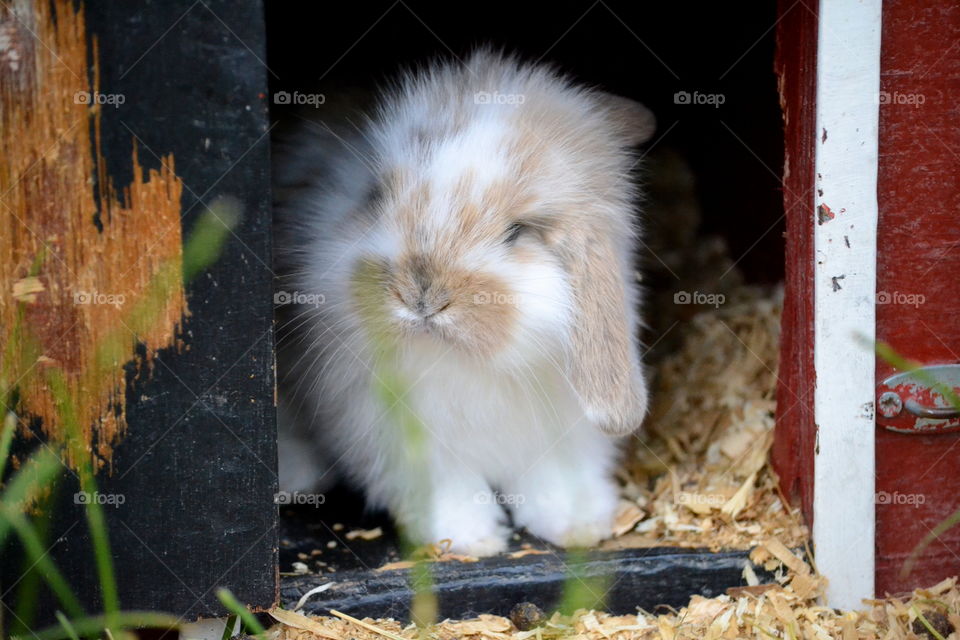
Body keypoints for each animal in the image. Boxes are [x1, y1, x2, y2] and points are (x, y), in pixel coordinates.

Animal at [273, 49, 654, 557]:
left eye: (518, 232)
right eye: (376, 196)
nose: (421, 294)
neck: (471, 364)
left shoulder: (563, 434)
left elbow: (556, 481)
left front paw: (579, 527)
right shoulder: (403, 436)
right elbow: (447, 489)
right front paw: (473, 539)